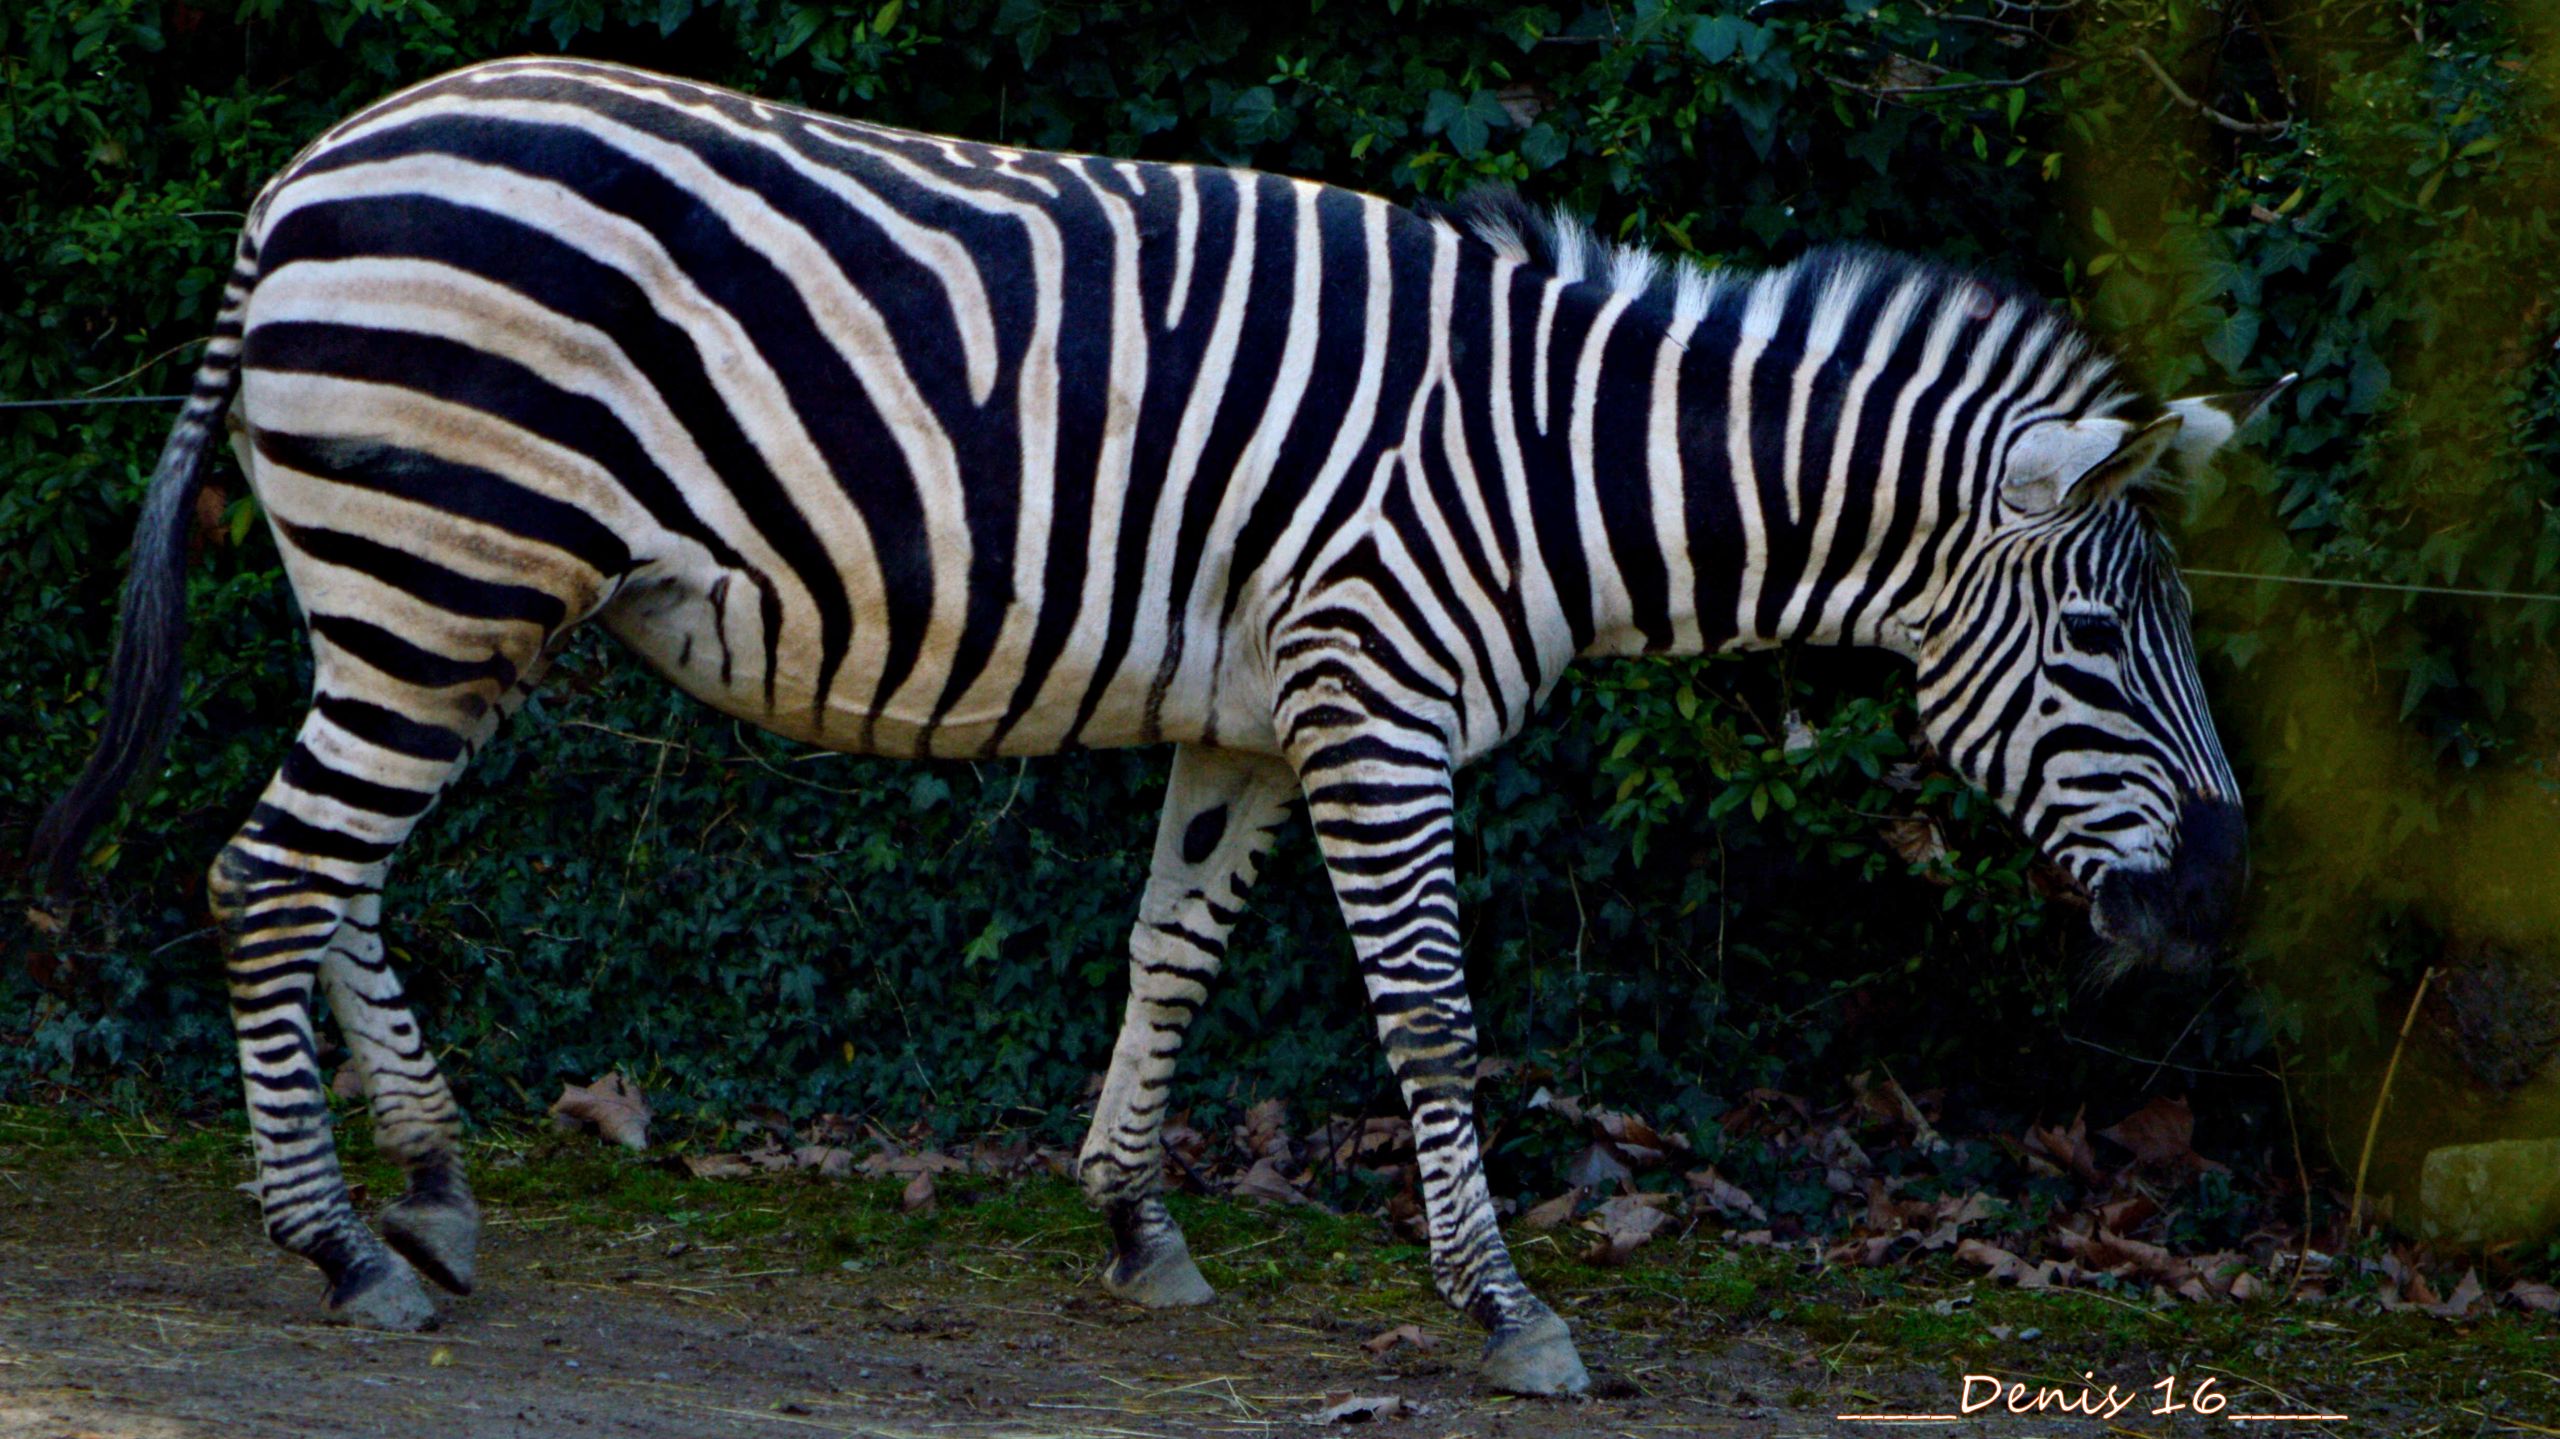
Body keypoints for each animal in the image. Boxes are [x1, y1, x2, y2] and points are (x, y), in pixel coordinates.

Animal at [30, 56, 2283, 1392]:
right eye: (2104, 637)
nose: (2220, 893)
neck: (1552, 463)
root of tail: (310, 167)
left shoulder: (1258, 717)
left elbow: (1168, 949)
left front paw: (1133, 1218)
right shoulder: (1377, 699)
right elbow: (1430, 1015)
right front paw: (1510, 1307)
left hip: (413, 583)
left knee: (326, 869)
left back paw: (427, 1180)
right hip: (444, 563)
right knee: (265, 869)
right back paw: (339, 1243)